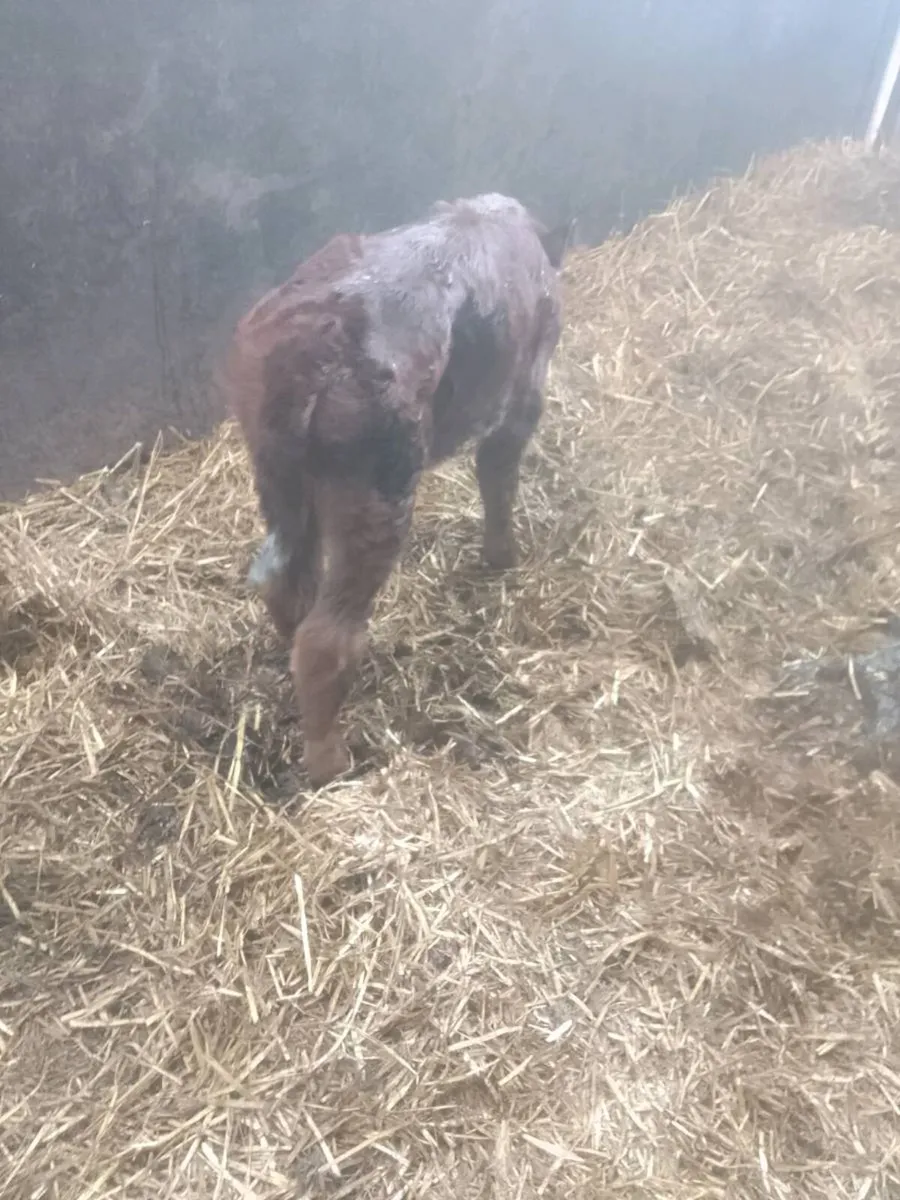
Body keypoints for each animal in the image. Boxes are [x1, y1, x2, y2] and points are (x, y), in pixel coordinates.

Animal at [227, 193, 571, 786]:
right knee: (326, 639)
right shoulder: (523, 391)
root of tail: (315, 350)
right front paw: (502, 557)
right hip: (376, 489)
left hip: (280, 481)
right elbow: (497, 475)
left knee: (287, 588)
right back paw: (332, 765)